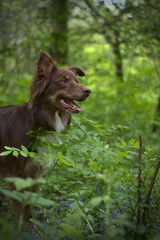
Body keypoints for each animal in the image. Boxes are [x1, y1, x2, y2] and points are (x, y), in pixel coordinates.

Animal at [0, 50, 90, 219]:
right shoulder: (18, 177)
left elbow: (28, 211)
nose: (88, 91)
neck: (41, 122)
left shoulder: (34, 176)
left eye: (76, 81)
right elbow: (21, 212)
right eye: (64, 81)